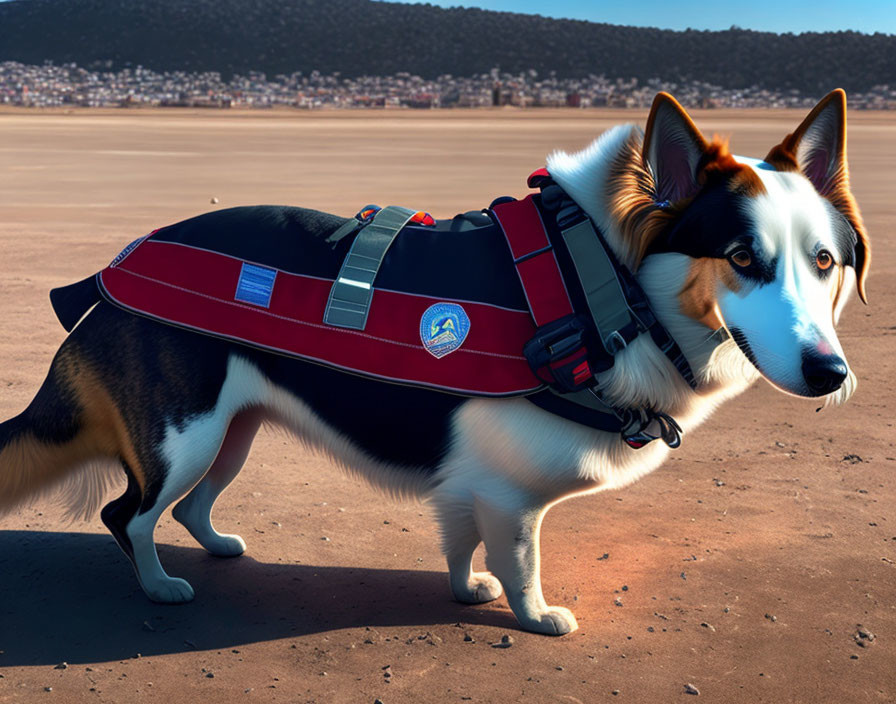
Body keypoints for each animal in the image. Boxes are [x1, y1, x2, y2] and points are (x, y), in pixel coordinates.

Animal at [0, 91, 868, 636]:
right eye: (742, 258)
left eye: (823, 261)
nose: (830, 374)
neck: (603, 280)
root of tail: (110, 277)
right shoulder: (515, 496)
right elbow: (518, 560)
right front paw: (533, 617)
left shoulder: (474, 482)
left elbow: (461, 543)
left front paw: (463, 590)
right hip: (187, 434)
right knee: (129, 515)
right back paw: (158, 584)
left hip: (231, 431)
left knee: (184, 508)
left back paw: (213, 547)